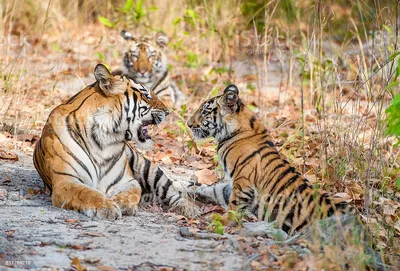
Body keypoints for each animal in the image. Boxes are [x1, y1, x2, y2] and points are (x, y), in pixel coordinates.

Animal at [33, 64, 199, 221]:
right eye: (146, 95)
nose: (168, 111)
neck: (103, 139)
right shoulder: (65, 181)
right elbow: (88, 192)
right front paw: (107, 207)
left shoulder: (127, 181)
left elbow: (132, 192)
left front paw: (122, 204)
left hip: (147, 168)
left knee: (172, 192)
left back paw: (189, 209)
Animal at [186, 85, 358, 236]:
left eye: (205, 111)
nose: (188, 124)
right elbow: (217, 189)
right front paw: (192, 188)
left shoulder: (243, 182)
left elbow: (233, 203)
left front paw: (222, 220)